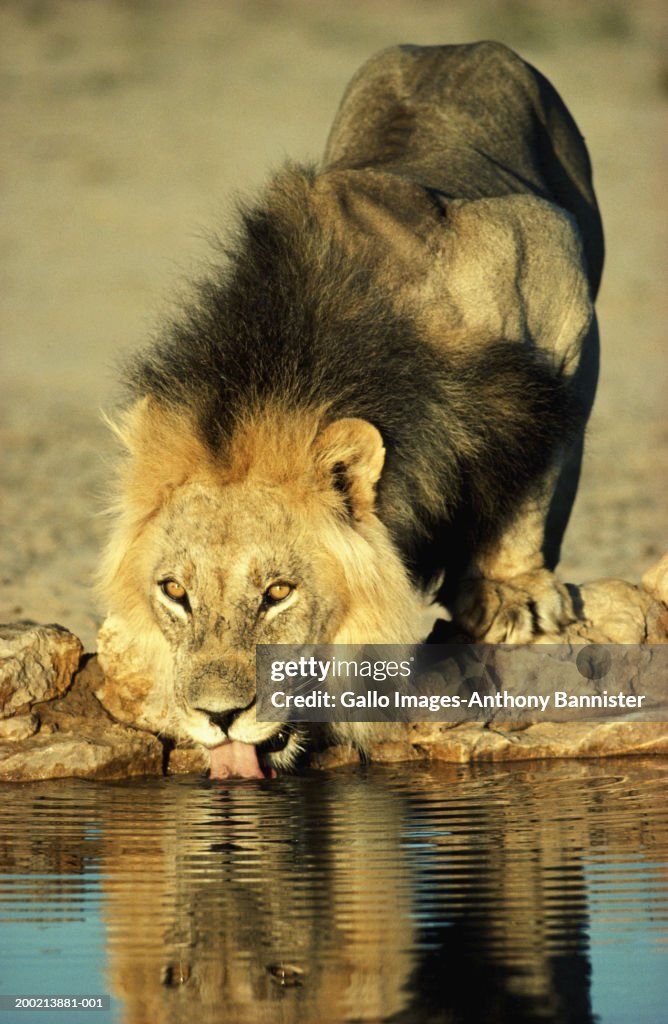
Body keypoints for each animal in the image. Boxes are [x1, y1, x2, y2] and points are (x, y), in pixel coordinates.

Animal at [96, 39, 602, 774]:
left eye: (278, 593)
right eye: (175, 592)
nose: (216, 717)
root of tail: (452, 45)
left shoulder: (559, 307)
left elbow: (536, 481)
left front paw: (511, 592)